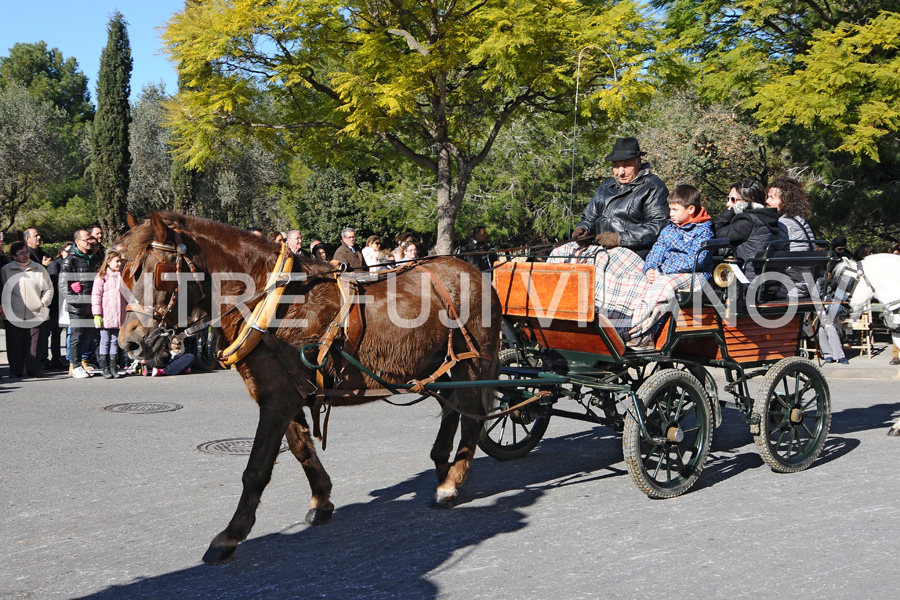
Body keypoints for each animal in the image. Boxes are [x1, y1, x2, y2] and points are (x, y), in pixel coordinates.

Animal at [116, 211, 502, 564]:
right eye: (123, 271)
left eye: (157, 272)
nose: (129, 342)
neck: (275, 303)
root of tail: (475, 272)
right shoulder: (282, 393)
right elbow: (302, 450)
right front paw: (322, 500)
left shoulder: (278, 398)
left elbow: (256, 469)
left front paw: (231, 534)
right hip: (443, 366)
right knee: (452, 407)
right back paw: (442, 465)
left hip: (472, 363)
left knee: (472, 418)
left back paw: (451, 483)